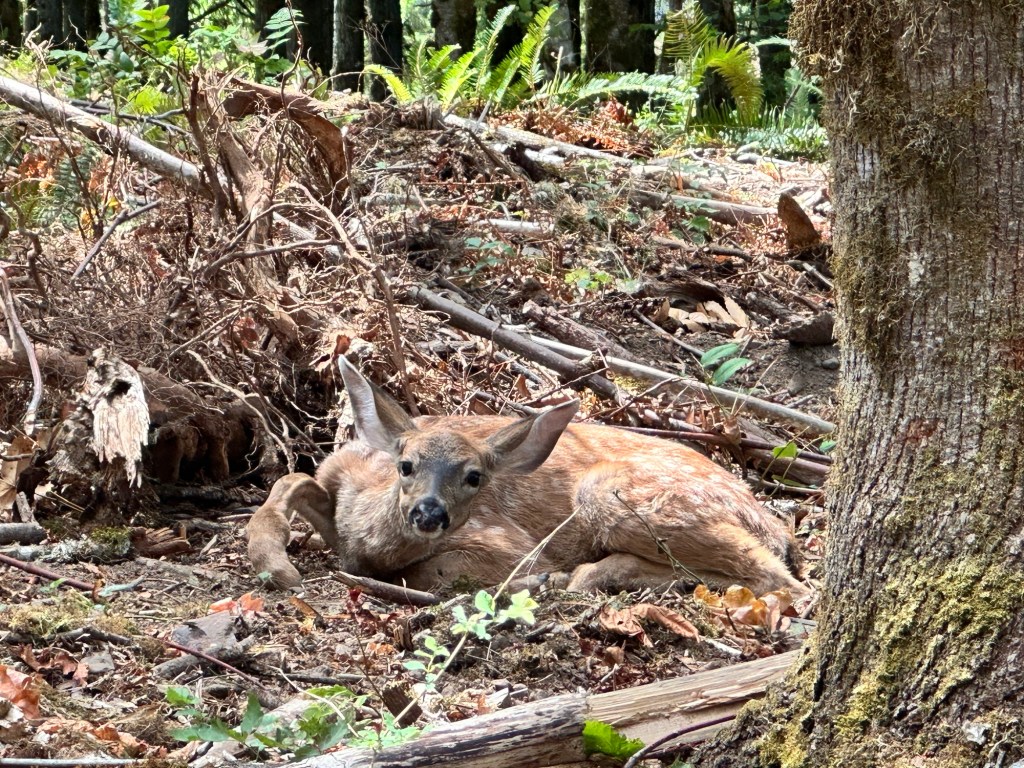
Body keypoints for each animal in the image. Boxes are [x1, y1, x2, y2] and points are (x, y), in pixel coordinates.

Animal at [246, 358, 806, 596]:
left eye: (475, 477)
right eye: (407, 465)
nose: (429, 512)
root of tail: (773, 522)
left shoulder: (507, 542)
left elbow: (432, 572)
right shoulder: (336, 473)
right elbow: (290, 481)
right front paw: (276, 563)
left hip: (611, 492)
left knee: (779, 581)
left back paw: (580, 576)